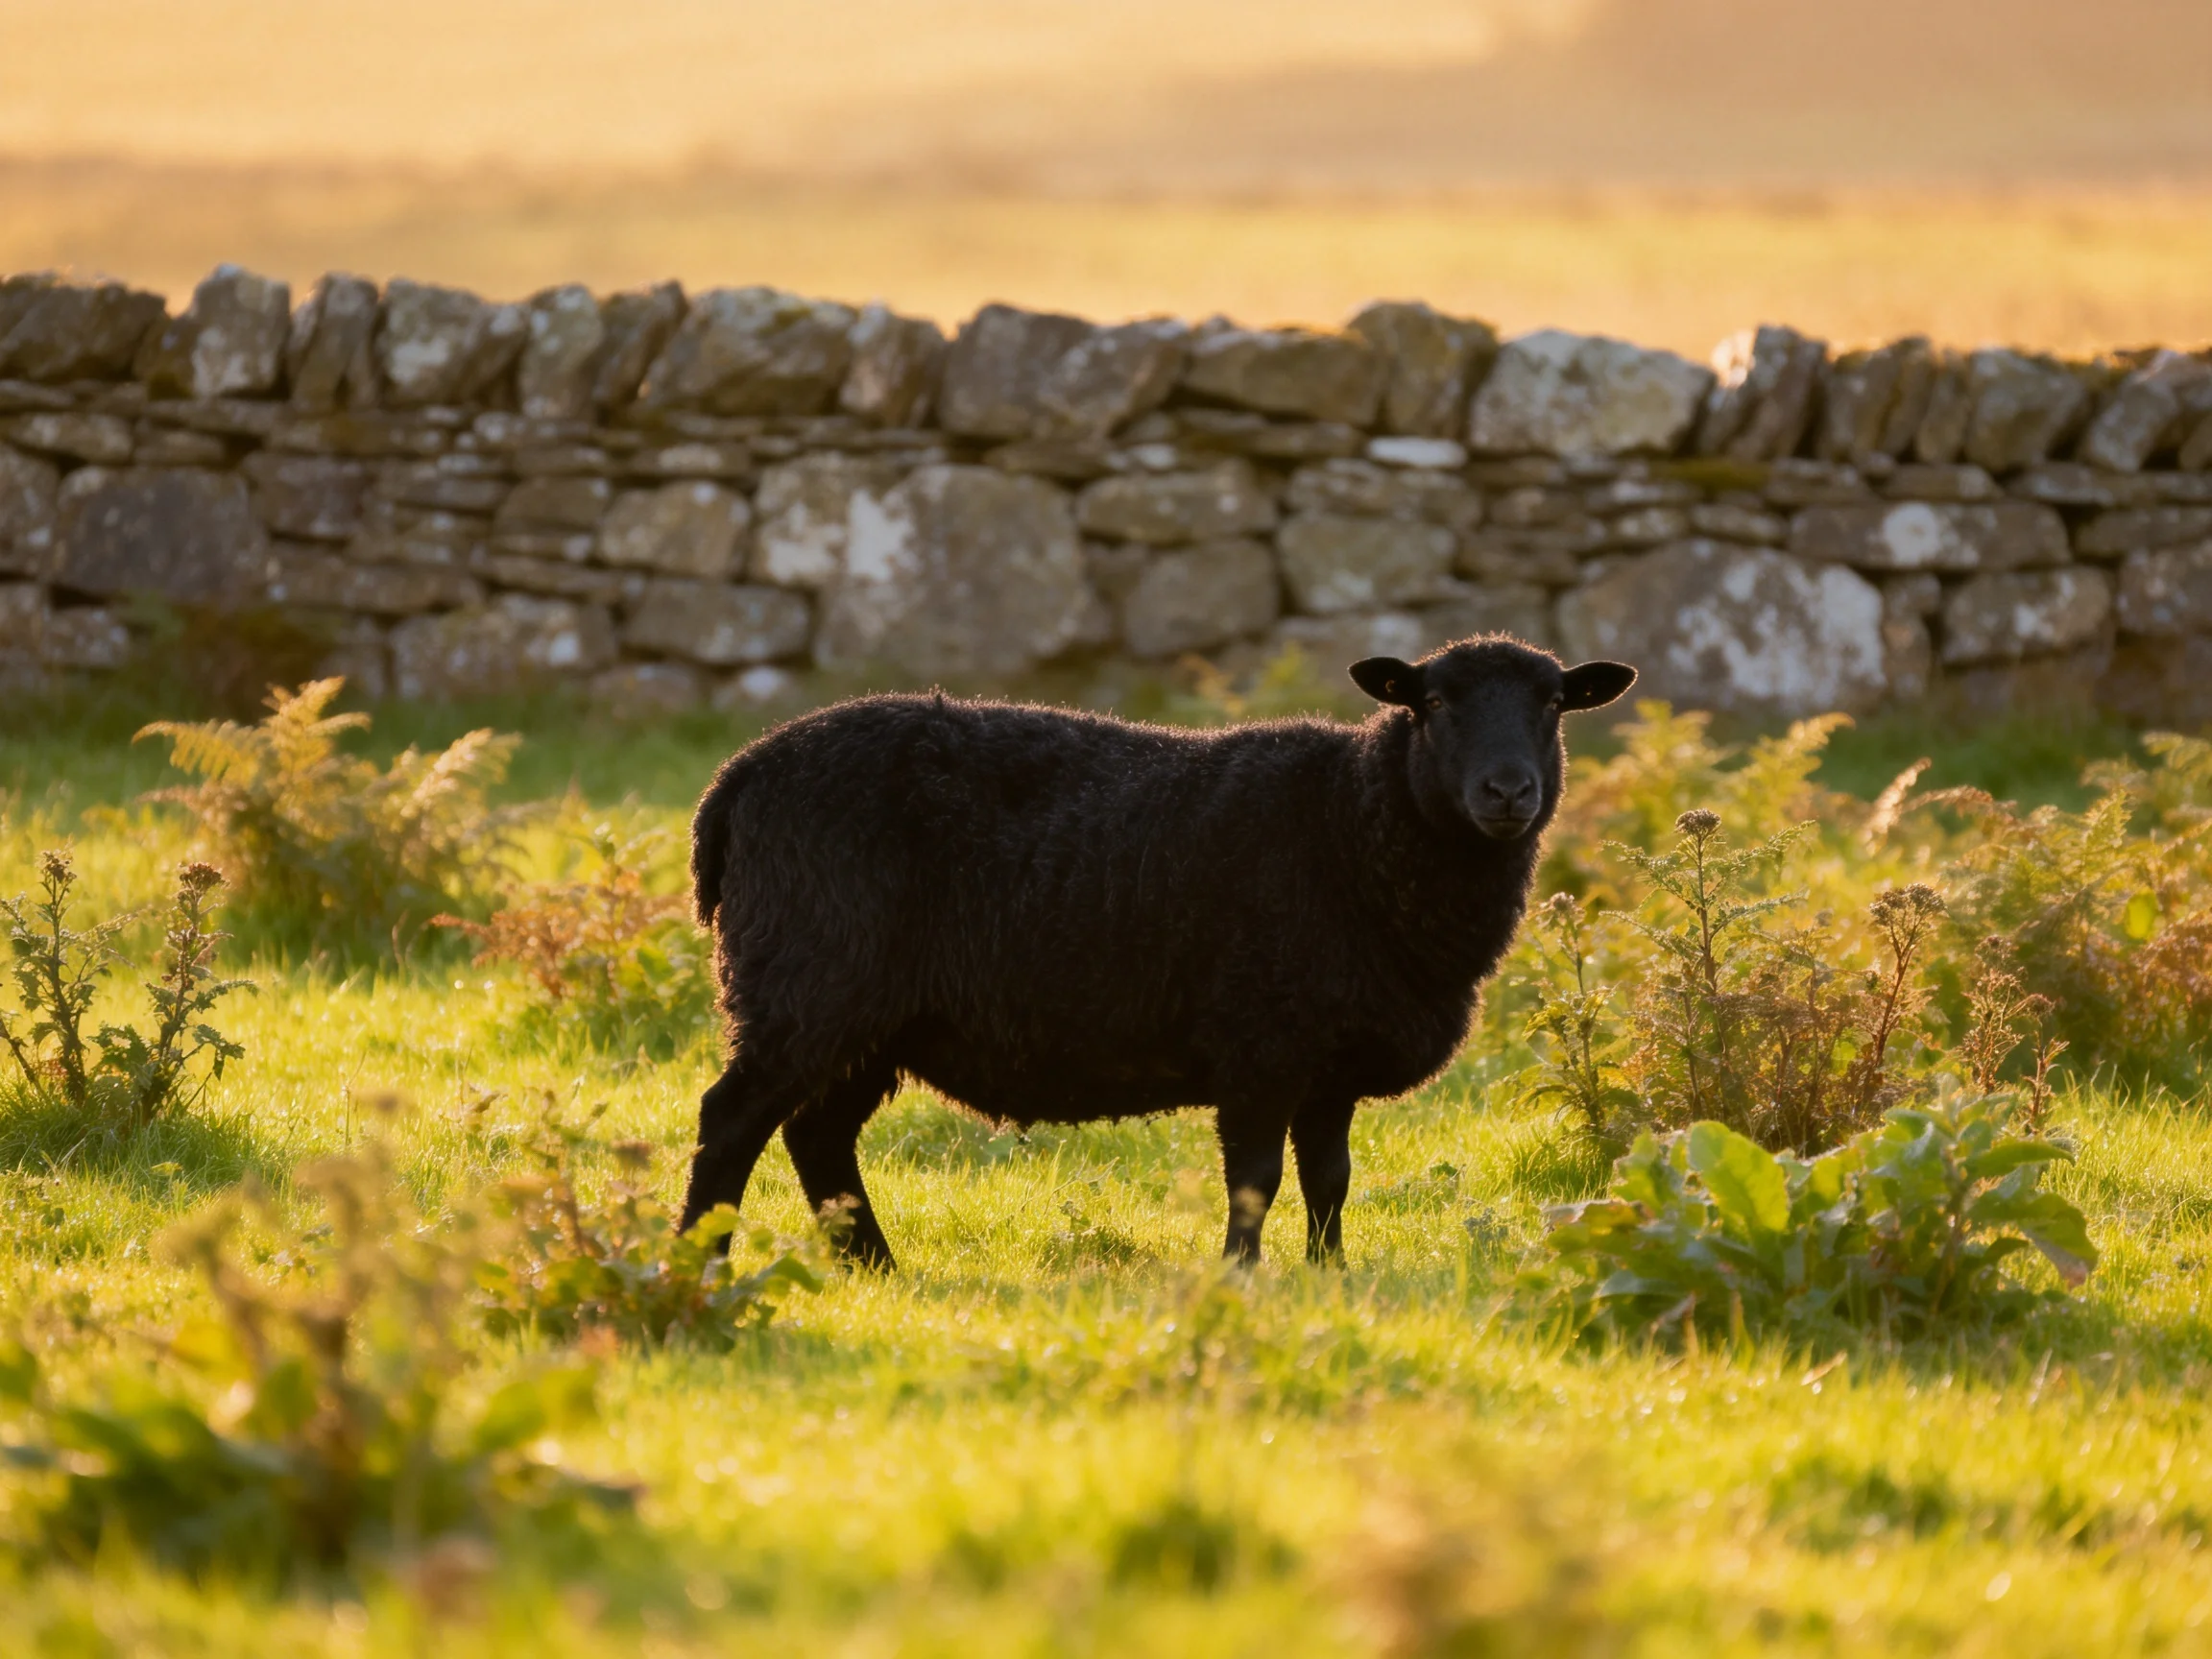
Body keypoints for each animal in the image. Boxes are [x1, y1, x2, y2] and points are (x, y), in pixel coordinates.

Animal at [679, 637, 1636, 1268]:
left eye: (1553, 705)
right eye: (1433, 705)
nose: (1508, 790)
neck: (1354, 821)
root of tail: (736, 779)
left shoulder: (1328, 1059)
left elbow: (1329, 1177)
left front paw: (1329, 1275)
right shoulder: (1260, 1040)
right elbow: (1255, 1178)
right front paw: (1239, 1275)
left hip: (868, 1017)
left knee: (816, 1133)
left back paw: (874, 1266)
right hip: (808, 980)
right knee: (733, 1121)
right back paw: (701, 1263)